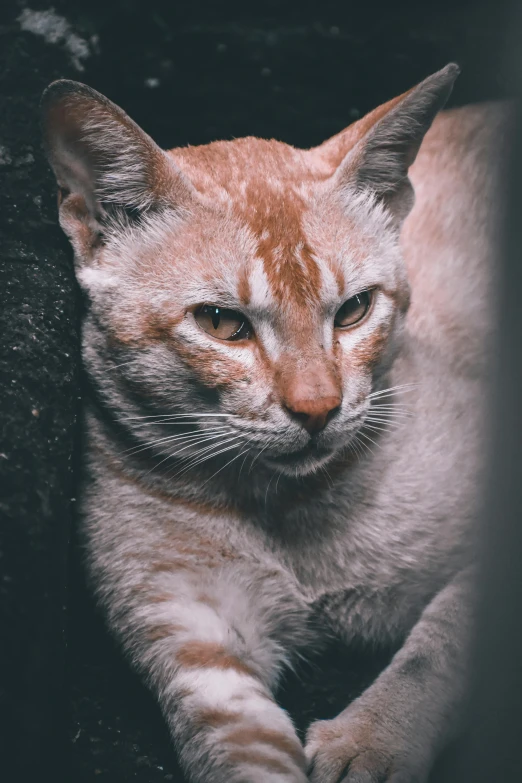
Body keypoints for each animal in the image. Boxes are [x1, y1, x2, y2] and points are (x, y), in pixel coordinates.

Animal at [40, 62, 504, 783]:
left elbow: (439, 643)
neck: (285, 509)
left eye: (354, 310)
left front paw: (372, 739)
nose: (317, 408)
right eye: (222, 323)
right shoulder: (200, 649)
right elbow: (245, 757)